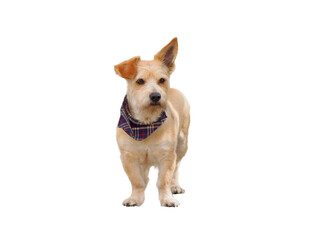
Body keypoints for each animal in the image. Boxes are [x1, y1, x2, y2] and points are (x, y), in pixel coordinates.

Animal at [114, 37, 190, 206]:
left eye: (162, 80)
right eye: (140, 81)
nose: (156, 96)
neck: (145, 123)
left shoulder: (168, 156)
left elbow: (164, 180)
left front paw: (167, 198)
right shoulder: (128, 157)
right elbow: (137, 181)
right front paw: (136, 198)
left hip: (182, 145)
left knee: (177, 168)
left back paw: (175, 186)